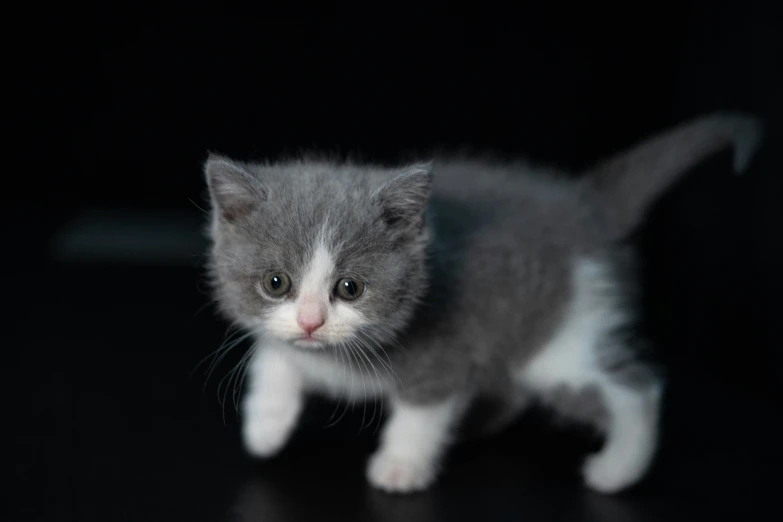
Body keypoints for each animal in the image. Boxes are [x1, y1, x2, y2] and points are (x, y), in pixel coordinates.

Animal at [202, 111, 760, 494]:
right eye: (276, 282)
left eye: (350, 288)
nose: (311, 322)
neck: (336, 357)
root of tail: (585, 205)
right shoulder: (283, 336)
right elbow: (275, 357)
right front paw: (264, 427)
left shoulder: (445, 350)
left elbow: (422, 411)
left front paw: (401, 466)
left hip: (561, 340)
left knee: (635, 389)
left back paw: (619, 468)